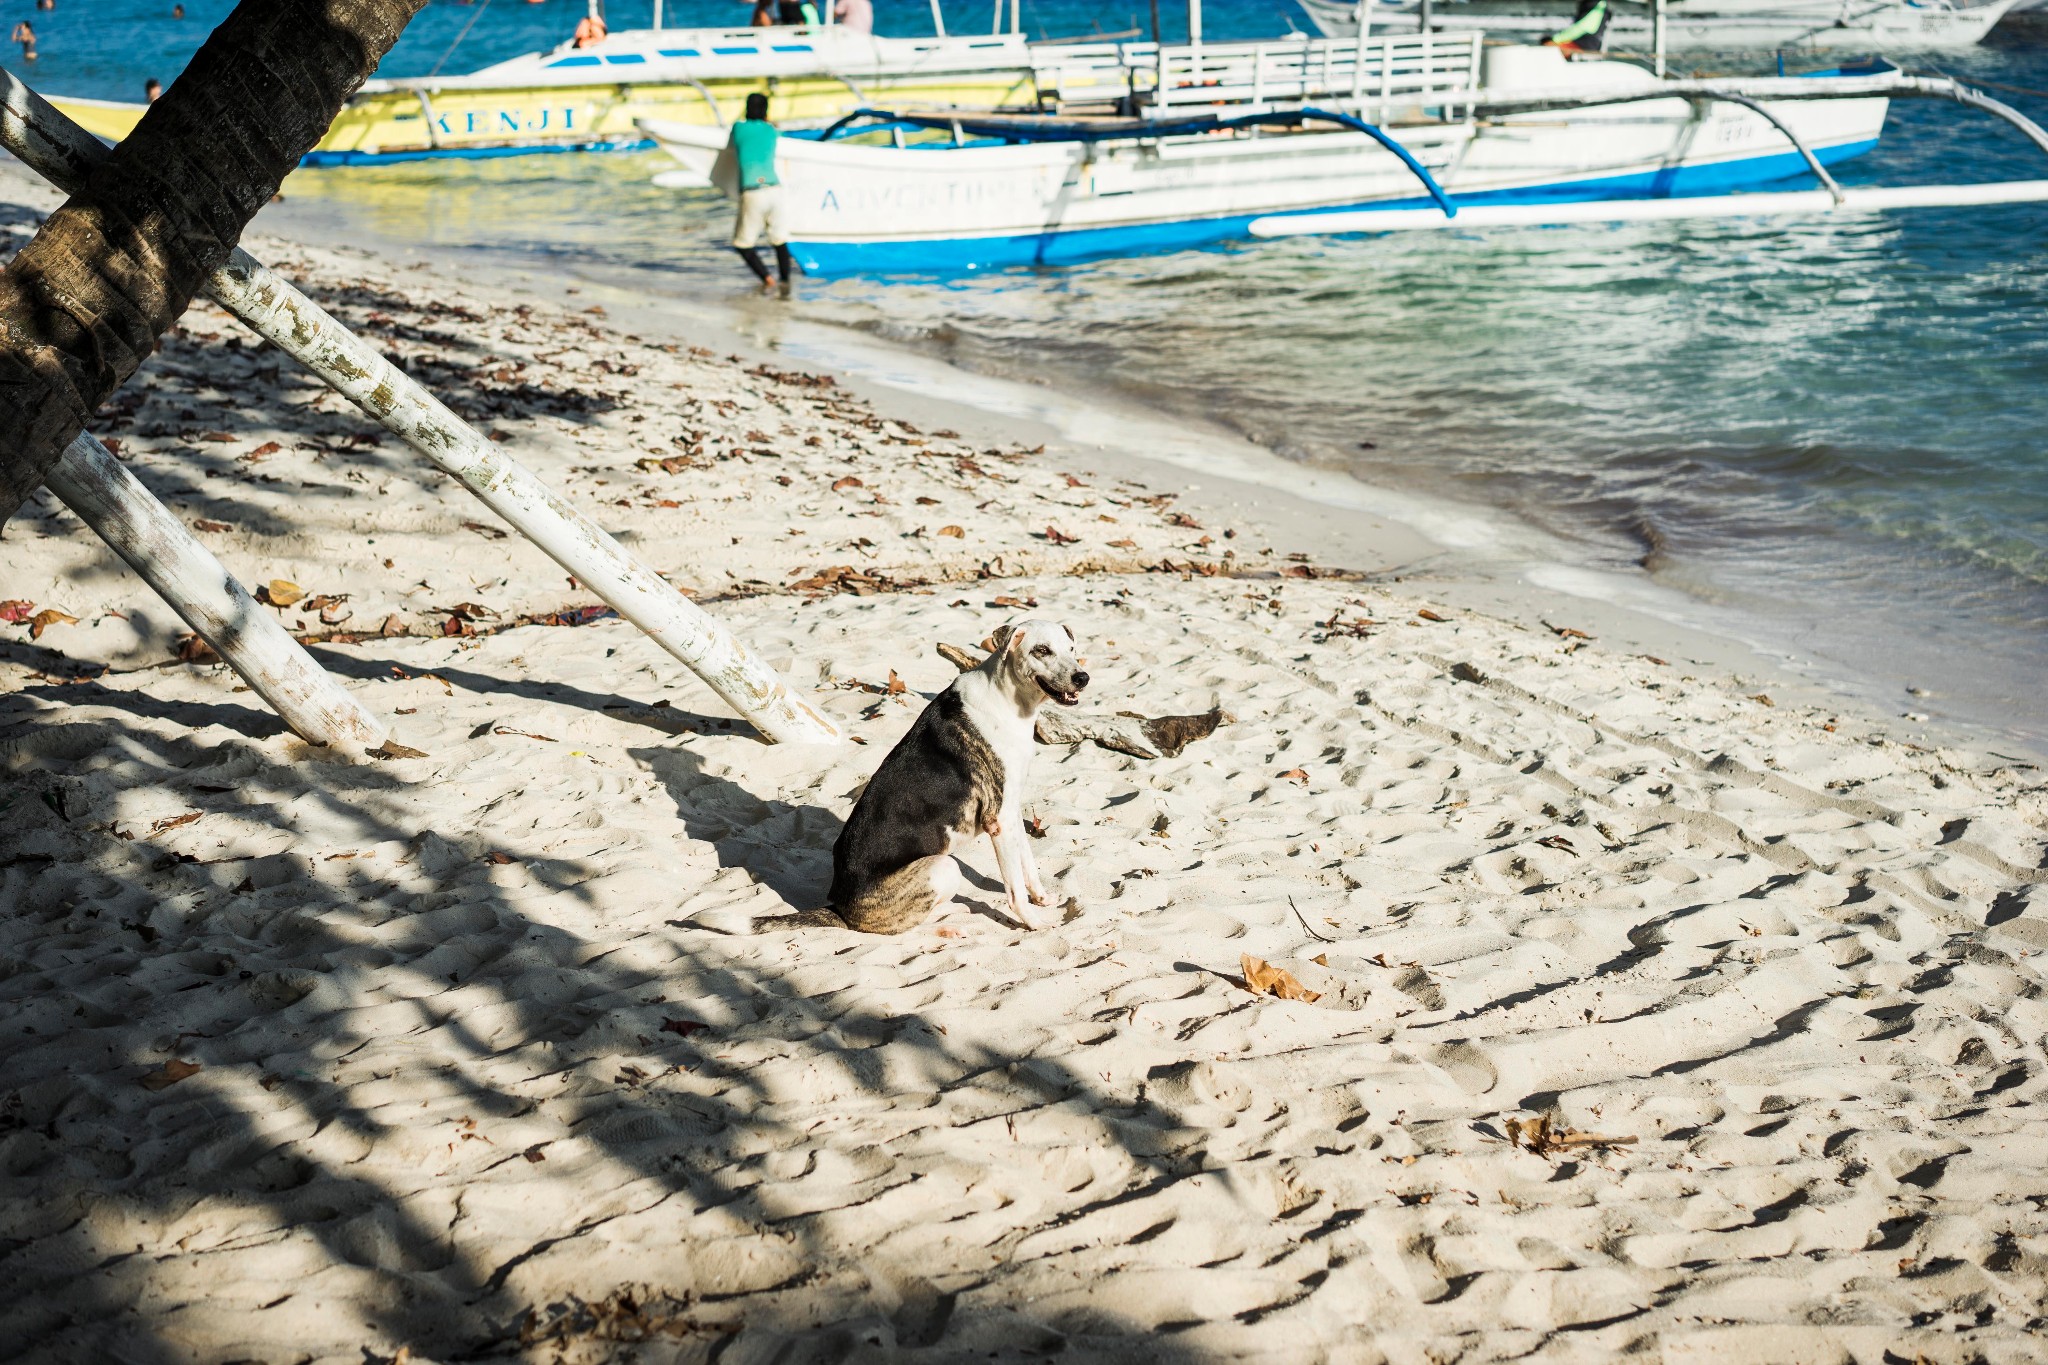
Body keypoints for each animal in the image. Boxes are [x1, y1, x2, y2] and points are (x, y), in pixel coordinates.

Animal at [827, 622, 1097, 933]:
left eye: (1072, 649)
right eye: (1042, 650)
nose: (1083, 678)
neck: (1008, 699)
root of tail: (838, 905)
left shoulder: (1011, 808)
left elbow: (1028, 860)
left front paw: (1042, 899)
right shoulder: (998, 820)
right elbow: (1015, 890)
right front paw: (1034, 923)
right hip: (944, 867)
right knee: (918, 920)